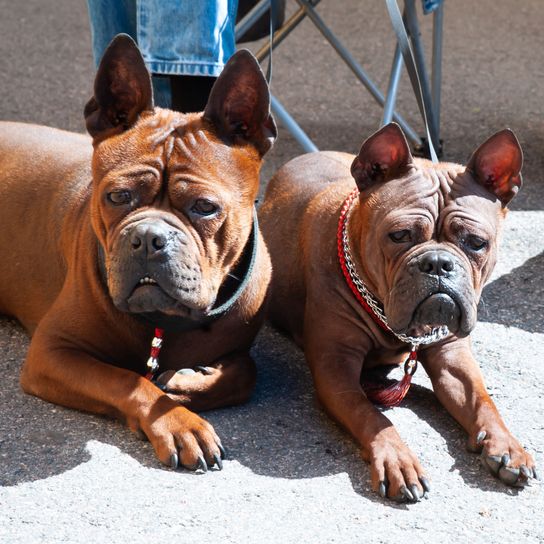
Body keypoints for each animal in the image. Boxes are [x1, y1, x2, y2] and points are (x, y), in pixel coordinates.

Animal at [0, 34, 276, 470]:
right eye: (118, 196)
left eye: (205, 207)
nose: (148, 237)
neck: (166, 322)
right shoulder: (52, 352)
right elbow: (126, 380)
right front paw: (179, 422)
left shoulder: (241, 347)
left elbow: (246, 372)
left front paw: (186, 383)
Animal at [260, 122, 536, 502]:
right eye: (400, 235)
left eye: (477, 243)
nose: (439, 263)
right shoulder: (336, 368)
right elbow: (373, 416)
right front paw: (397, 459)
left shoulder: (453, 357)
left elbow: (483, 400)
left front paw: (506, 444)